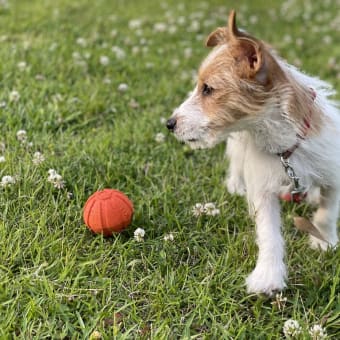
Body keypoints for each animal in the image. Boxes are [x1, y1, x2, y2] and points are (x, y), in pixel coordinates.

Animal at [167, 9, 340, 294]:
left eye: (208, 89)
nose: (169, 124)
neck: (283, 147)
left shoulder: (333, 174)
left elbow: (328, 212)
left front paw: (324, 241)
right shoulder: (264, 189)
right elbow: (269, 233)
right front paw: (268, 274)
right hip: (238, 149)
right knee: (236, 164)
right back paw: (237, 185)